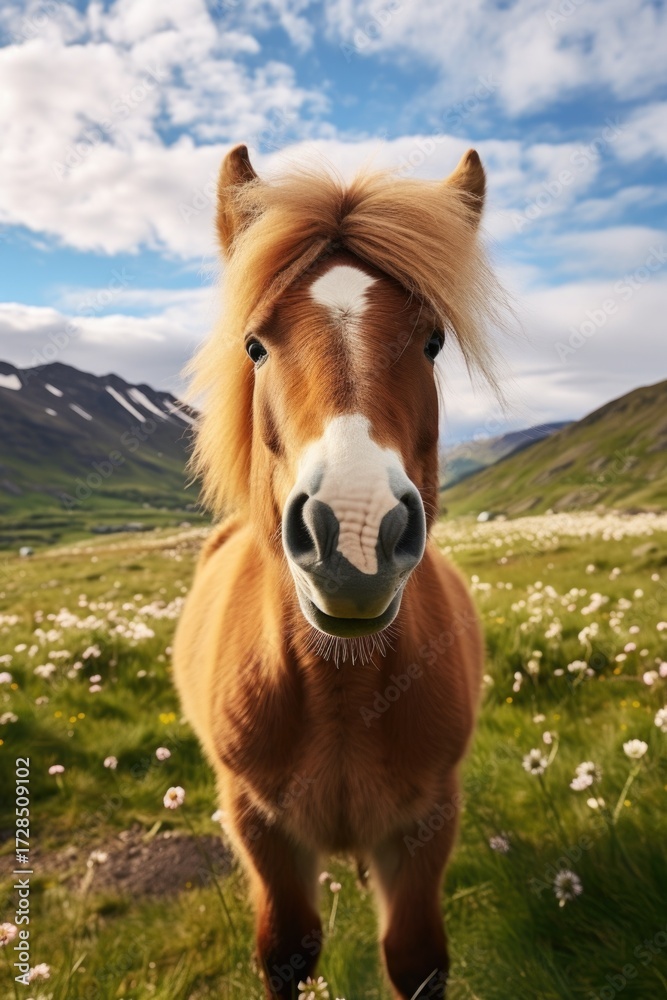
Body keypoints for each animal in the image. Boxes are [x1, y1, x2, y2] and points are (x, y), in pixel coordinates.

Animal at [173, 142, 503, 999]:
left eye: (431, 341)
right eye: (255, 344)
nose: (354, 534)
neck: (343, 688)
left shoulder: (425, 823)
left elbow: (415, 956)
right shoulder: (258, 824)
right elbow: (287, 948)